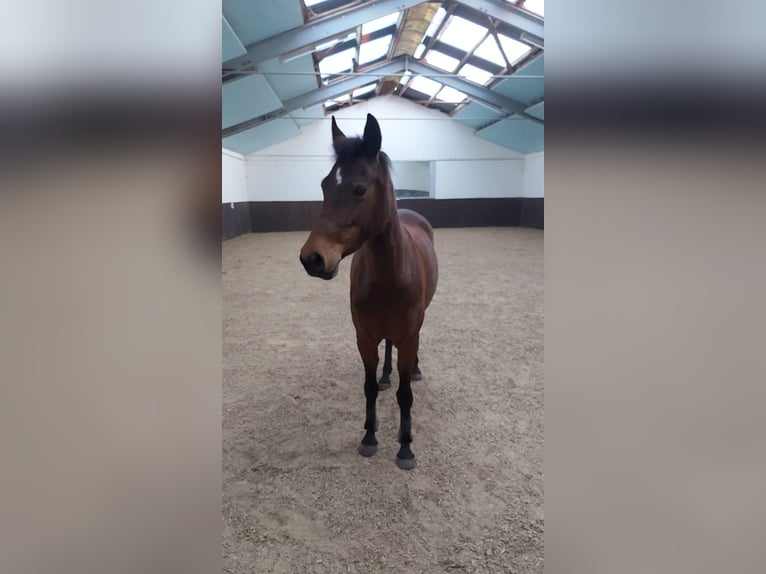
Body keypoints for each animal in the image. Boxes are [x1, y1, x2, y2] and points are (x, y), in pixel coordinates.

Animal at [304, 113, 440, 472]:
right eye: (324, 185)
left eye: (360, 189)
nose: (312, 258)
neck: (389, 276)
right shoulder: (364, 337)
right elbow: (367, 388)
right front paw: (369, 436)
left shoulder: (409, 335)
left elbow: (405, 395)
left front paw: (405, 447)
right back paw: (386, 375)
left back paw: (414, 371)